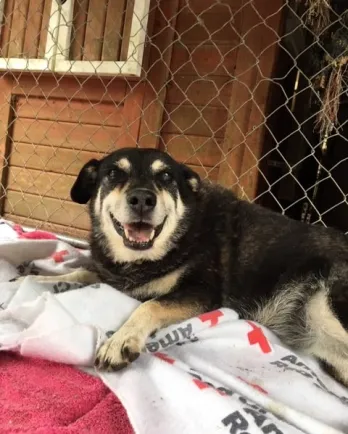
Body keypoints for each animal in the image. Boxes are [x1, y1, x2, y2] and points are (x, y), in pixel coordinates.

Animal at [23, 147, 348, 384]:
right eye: (114, 172)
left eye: (166, 176)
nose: (142, 199)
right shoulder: (110, 276)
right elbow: (80, 272)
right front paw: (35, 278)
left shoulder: (201, 293)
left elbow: (150, 305)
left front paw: (121, 340)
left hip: (329, 305)